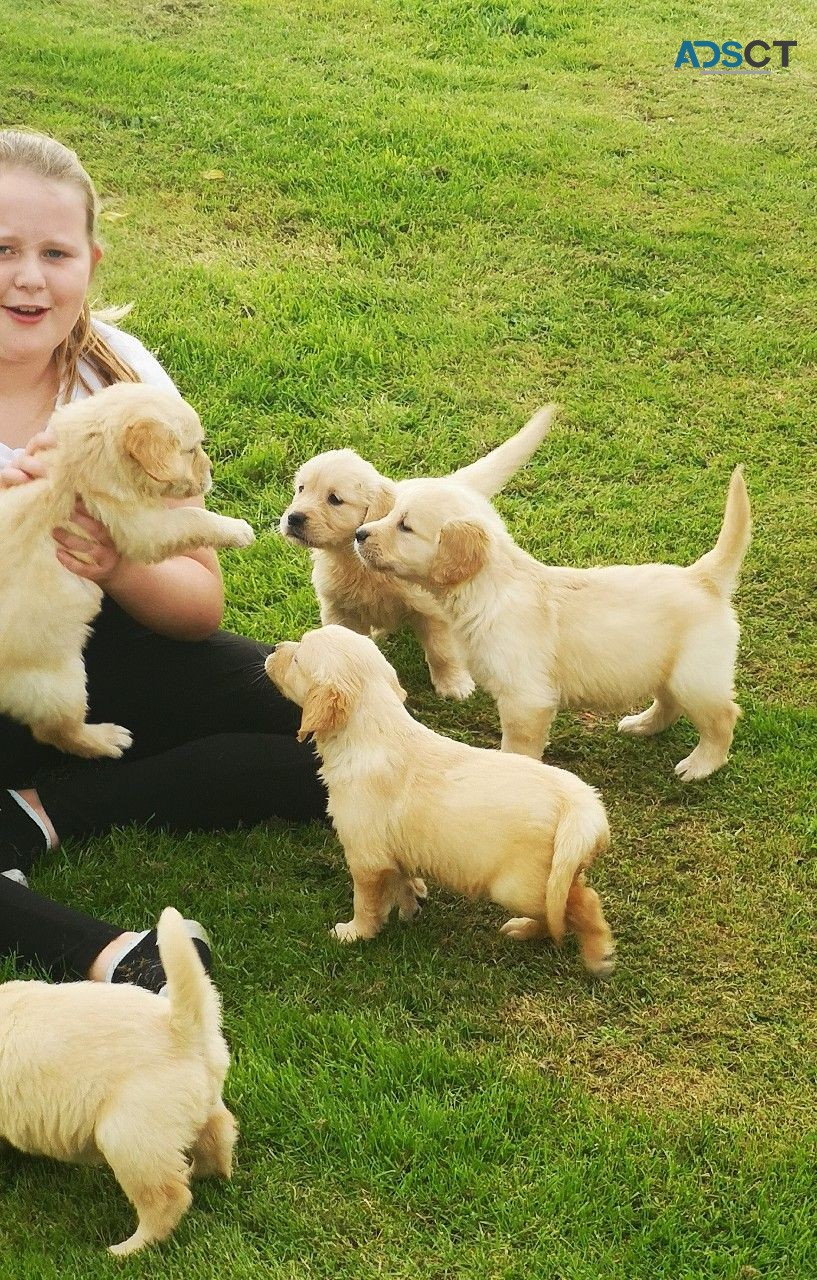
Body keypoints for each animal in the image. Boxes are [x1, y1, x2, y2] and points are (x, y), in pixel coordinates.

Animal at [0, 378, 254, 757]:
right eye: (192, 450)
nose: (211, 473)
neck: (84, 450)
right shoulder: (143, 525)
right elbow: (193, 517)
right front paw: (238, 530)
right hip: (59, 682)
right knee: (56, 732)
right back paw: (106, 739)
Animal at [0, 906, 236, 1254]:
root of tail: (182, 1028)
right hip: (196, 1106)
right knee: (218, 1136)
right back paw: (202, 1173)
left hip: (128, 1135)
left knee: (166, 1199)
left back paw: (125, 1250)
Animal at [266, 624, 617, 972]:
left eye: (296, 659)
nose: (274, 648)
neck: (371, 729)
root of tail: (579, 803)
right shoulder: (392, 850)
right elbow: (402, 881)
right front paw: (411, 905)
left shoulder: (366, 857)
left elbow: (365, 902)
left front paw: (355, 933)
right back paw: (527, 929)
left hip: (518, 884)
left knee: (580, 904)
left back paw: (597, 955)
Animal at [280, 404, 558, 701]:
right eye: (301, 489)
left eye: (334, 499)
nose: (293, 518)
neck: (357, 564)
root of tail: (454, 484)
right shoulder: (337, 607)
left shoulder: (431, 611)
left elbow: (441, 650)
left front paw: (453, 683)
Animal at [358, 468, 758, 778]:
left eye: (405, 526)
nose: (359, 535)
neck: (490, 588)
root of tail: (703, 578)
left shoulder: (526, 698)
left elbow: (518, 744)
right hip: (665, 669)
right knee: (669, 705)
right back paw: (642, 725)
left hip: (696, 677)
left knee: (723, 717)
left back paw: (701, 765)